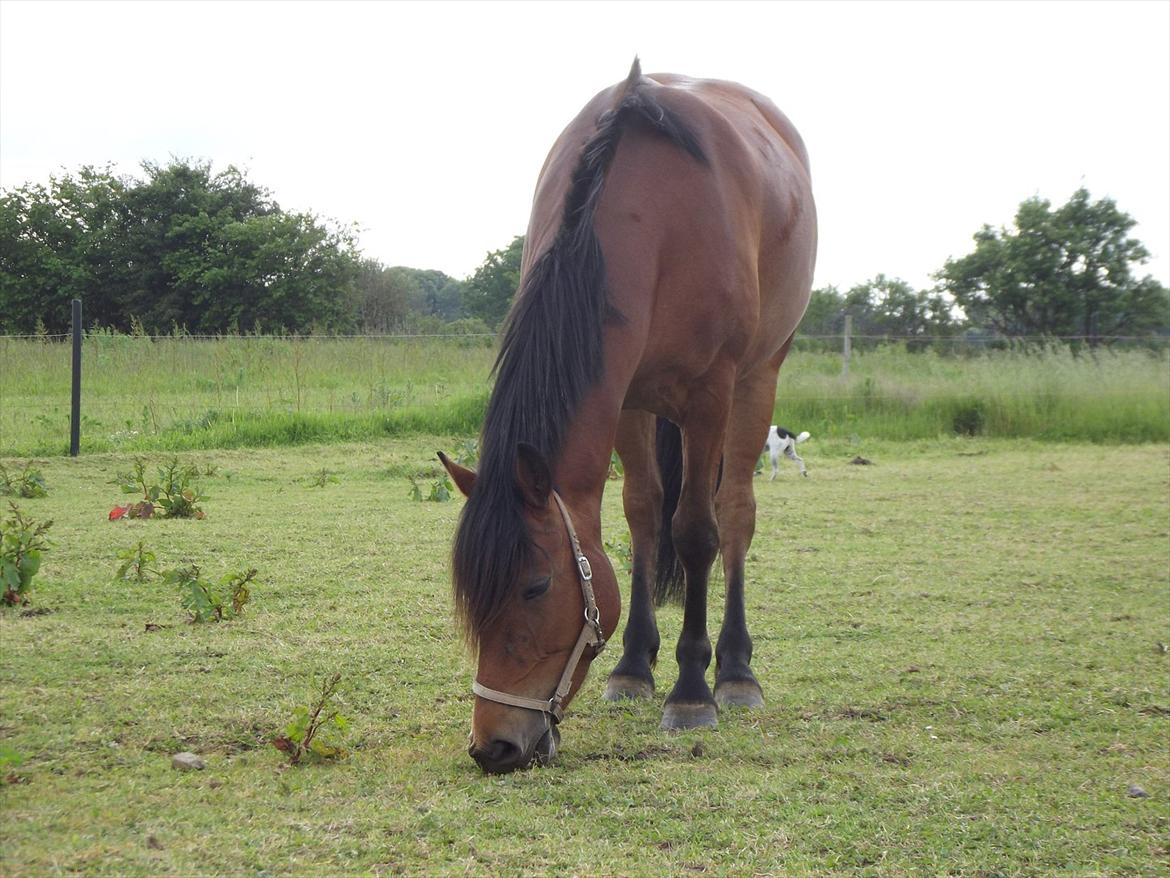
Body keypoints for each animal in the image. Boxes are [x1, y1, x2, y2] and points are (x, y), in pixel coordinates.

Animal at [439, 60, 814, 777]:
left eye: (536, 586)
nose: (493, 746)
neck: (652, 213)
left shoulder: (709, 395)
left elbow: (695, 531)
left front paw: (691, 690)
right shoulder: (625, 397)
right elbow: (640, 515)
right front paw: (634, 668)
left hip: (759, 378)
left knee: (736, 512)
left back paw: (736, 672)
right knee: (651, 511)